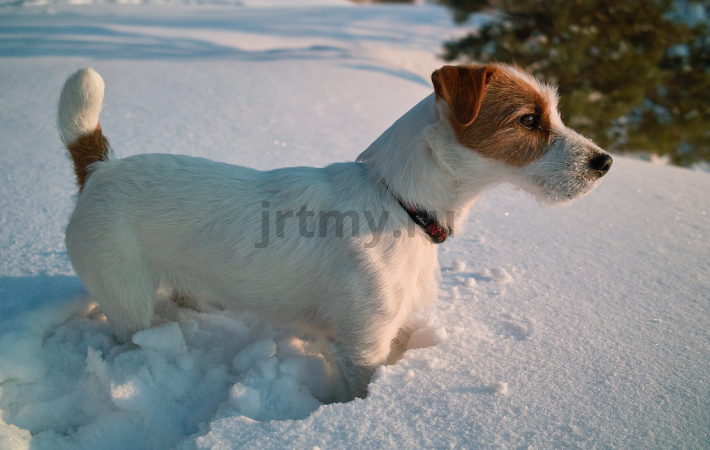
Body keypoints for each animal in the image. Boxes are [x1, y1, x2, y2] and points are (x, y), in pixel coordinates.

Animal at [57, 64, 612, 400]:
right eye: (528, 120)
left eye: (553, 113)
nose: (605, 162)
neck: (399, 201)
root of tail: (101, 168)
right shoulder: (362, 346)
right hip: (126, 298)